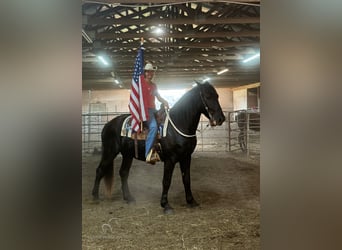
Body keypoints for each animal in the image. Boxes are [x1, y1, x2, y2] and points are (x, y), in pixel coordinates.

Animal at [92, 81, 226, 213]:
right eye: (207, 96)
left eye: (217, 96)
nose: (221, 119)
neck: (178, 124)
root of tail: (108, 124)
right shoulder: (170, 159)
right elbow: (166, 181)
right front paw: (165, 205)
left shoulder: (186, 157)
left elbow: (186, 179)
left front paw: (191, 201)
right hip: (110, 152)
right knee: (100, 170)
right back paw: (95, 197)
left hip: (127, 154)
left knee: (123, 173)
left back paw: (128, 198)